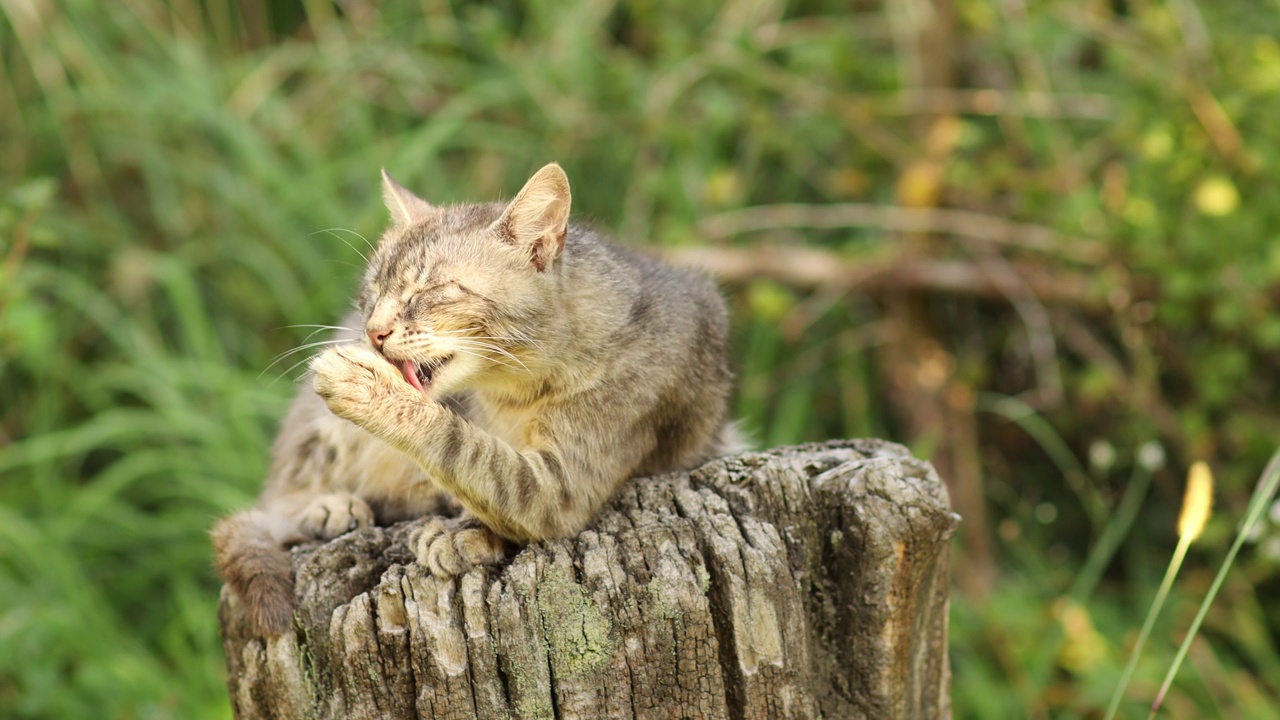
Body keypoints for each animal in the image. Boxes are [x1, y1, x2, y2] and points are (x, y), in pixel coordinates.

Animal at [212, 162, 742, 632]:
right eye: (372, 293)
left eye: (430, 291)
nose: (373, 333)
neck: (515, 396)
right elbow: (476, 461)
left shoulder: (563, 485)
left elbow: (474, 457)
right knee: (280, 492)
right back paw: (331, 506)